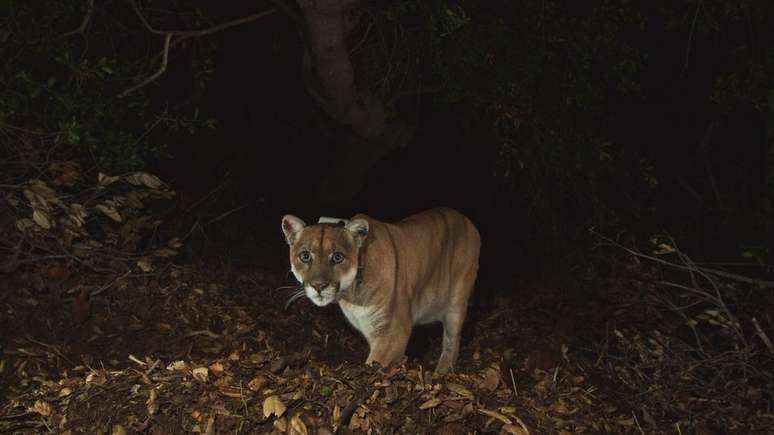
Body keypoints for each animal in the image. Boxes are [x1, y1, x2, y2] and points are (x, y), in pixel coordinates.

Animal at [282, 208, 482, 374]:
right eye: (305, 256)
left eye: (338, 257)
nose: (318, 285)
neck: (351, 295)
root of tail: (466, 220)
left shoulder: (394, 331)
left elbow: (374, 363)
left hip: (457, 300)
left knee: (452, 340)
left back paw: (442, 371)